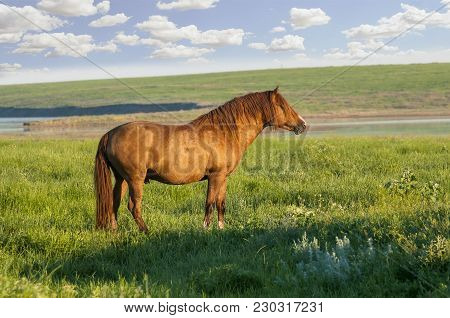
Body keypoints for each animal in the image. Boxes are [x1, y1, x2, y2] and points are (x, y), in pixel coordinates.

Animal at [93, 88, 308, 232]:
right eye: (282, 106)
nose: (303, 124)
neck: (224, 132)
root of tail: (110, 133)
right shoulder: (215, 177)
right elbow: (209, 203)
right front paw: (205, 229)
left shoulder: (223, 178)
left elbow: (221, 204)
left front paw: (221, 229)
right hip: (135, 180)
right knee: (133, 206)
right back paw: (146, 232)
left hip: (121, 179)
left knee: (114, 202)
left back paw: (115, 231)